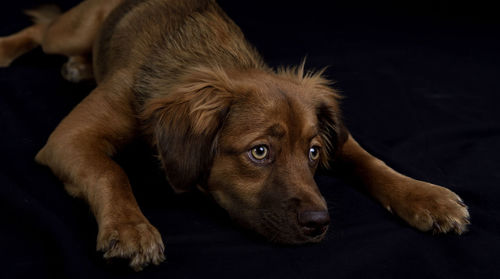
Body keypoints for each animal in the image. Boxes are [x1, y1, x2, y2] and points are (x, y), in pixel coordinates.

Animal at [0, 0, 468, 272]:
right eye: (259, 152)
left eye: (314, 152)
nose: (320, 224)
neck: (211, 59)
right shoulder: (68, 138)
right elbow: (109, 172)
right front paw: (130, 226)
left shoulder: (340, 138)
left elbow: (372, 161)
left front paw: (428, 197)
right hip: (72, 31)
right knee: (41, 32)